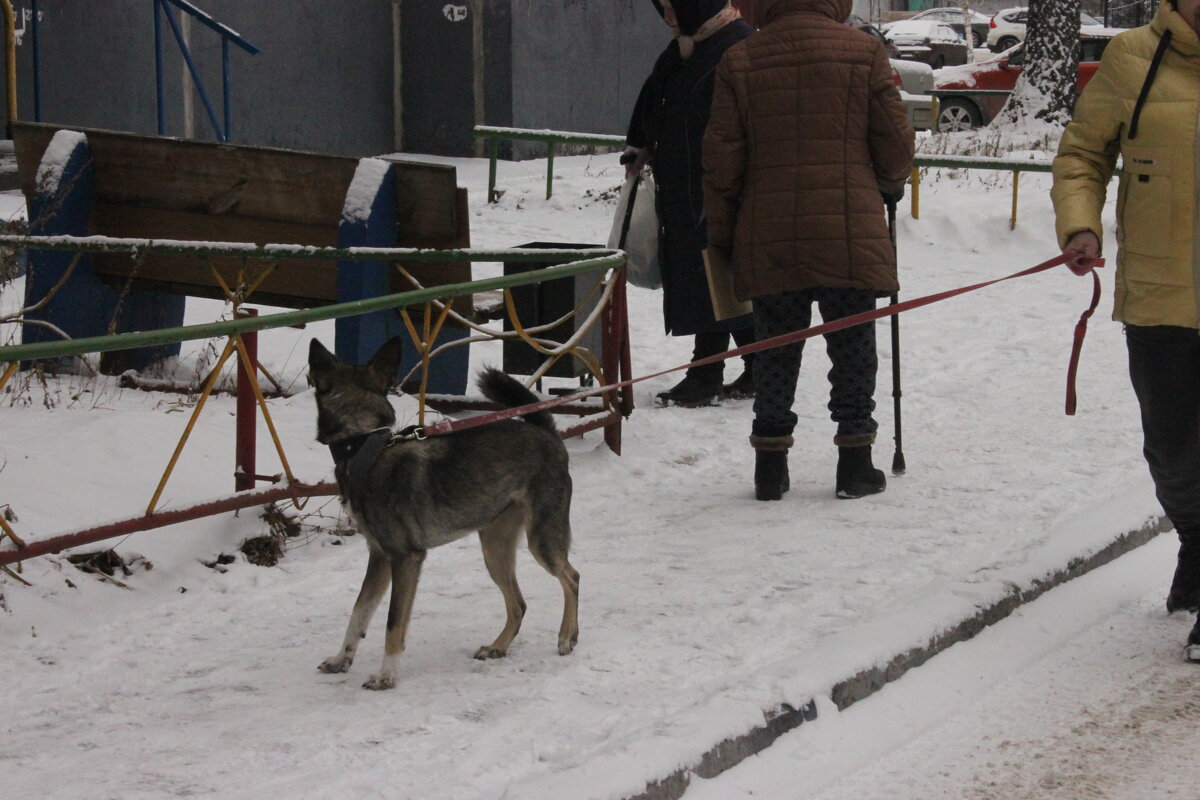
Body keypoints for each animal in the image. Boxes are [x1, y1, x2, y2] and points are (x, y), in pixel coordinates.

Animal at [304, 335, 576, 690]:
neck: (366, 449)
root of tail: (544, 431)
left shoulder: (405, 558)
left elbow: (392, 622)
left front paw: (386, 674)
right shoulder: (379, 556)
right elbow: (358, 612)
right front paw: (342, 659)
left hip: (542, 540)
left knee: (571, 577)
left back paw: (567, 636)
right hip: (495, 550)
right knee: (518, 604)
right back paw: (498, 646)